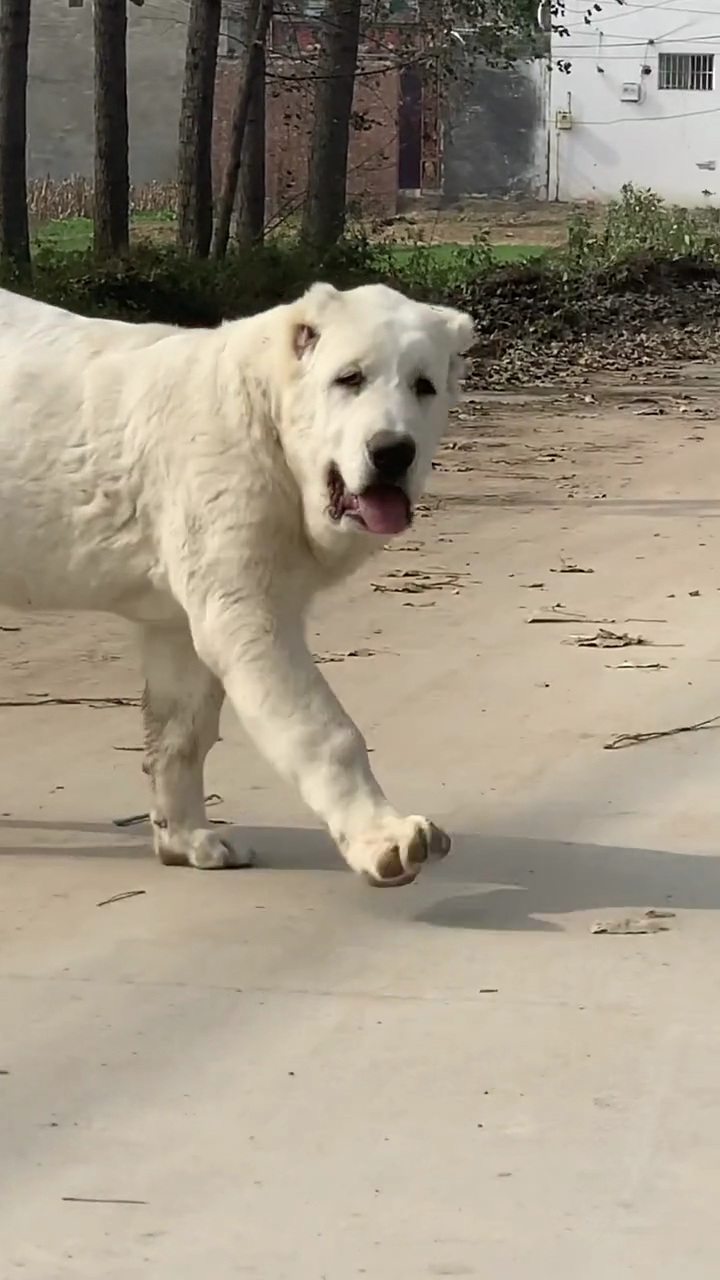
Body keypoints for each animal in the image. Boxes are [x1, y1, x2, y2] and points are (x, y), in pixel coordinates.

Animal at [0, 286, 471, 890]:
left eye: (424, 386)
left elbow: (181, 731)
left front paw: (186, 840)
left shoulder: (178, 619)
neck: (268, 422)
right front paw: (386, 840)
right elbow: (324, 730)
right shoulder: (245, 605)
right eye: (349, 378)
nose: (393, 451)